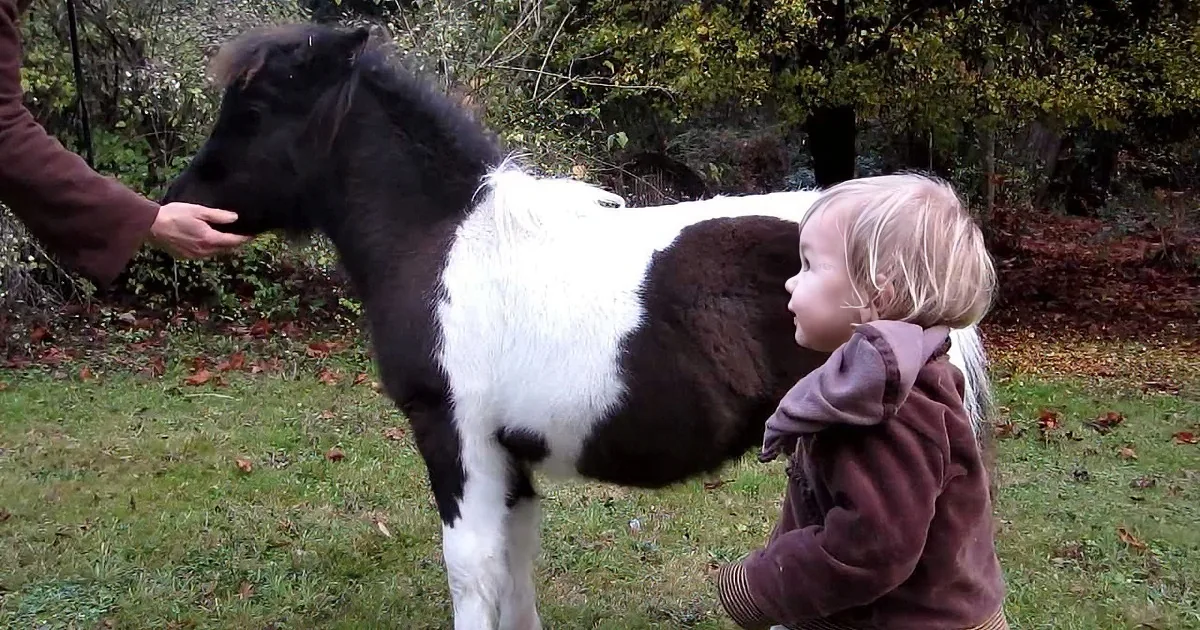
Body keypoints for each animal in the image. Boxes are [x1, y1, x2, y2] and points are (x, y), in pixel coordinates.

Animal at [161, 23, 993, 630]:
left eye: (255, 113)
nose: (179, 205)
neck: (442, 240)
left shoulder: (455, 436)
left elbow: (472, 567)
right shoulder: (510, 453)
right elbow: (516, 558)